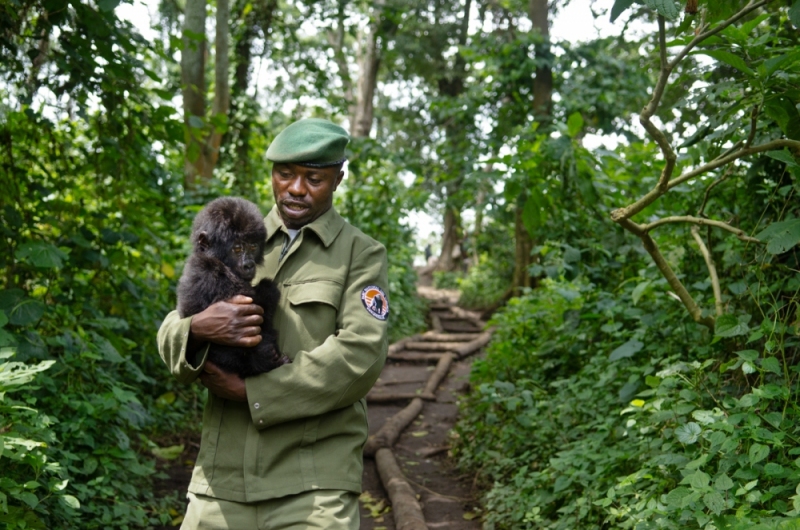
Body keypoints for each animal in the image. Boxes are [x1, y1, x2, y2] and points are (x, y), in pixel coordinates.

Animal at [177, 197, 290, 376]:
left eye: (253, 246)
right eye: (237, 248)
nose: (249, 265)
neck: (213, 257)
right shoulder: (211, 274)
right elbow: (260, 305)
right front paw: (268, 288)